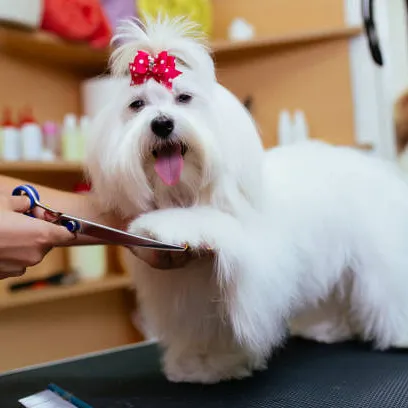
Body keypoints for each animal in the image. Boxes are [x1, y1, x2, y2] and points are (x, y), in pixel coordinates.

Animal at [85, 16, 408, 386]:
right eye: (136, 105)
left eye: (184, 98)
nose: (162, 123)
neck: (185, 191)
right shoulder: (193, 291)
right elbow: (205, 329)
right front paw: (205, 365)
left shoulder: (251, 259)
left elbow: (209, 223)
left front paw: (163, 225)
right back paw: (327, 329)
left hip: (378, 259)